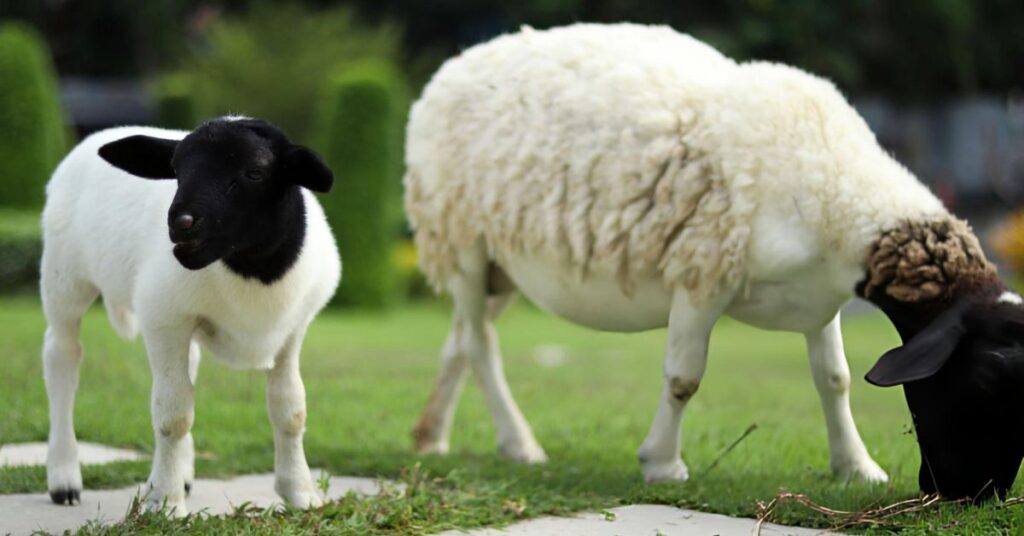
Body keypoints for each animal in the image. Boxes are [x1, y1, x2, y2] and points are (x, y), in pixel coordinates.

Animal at [41, 117, 340, 516]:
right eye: (176, 172)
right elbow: (173, 415)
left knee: (189, 367)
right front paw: (166, 503)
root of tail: (104, 131)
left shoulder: (292, 330)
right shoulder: (164, 317)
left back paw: (180, 473)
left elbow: (290, 410)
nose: (180, 223)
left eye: (255, 172)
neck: (252, 271)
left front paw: (300, 494)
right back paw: (64, 478)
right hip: (64, 278)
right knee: (63, 357)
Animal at [404, 22, 1023, 497]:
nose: (977, 495)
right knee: (480, 344)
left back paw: (430, 437)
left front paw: (856, 467)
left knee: (461, 337)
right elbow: (684, 378)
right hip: (460, 238)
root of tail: (447, 71)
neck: (834, 183)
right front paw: (662, 464)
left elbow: (835, 378)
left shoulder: (820, 301)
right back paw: (520, 445)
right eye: (985, 381)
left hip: (499, 267)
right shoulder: (703, 272)